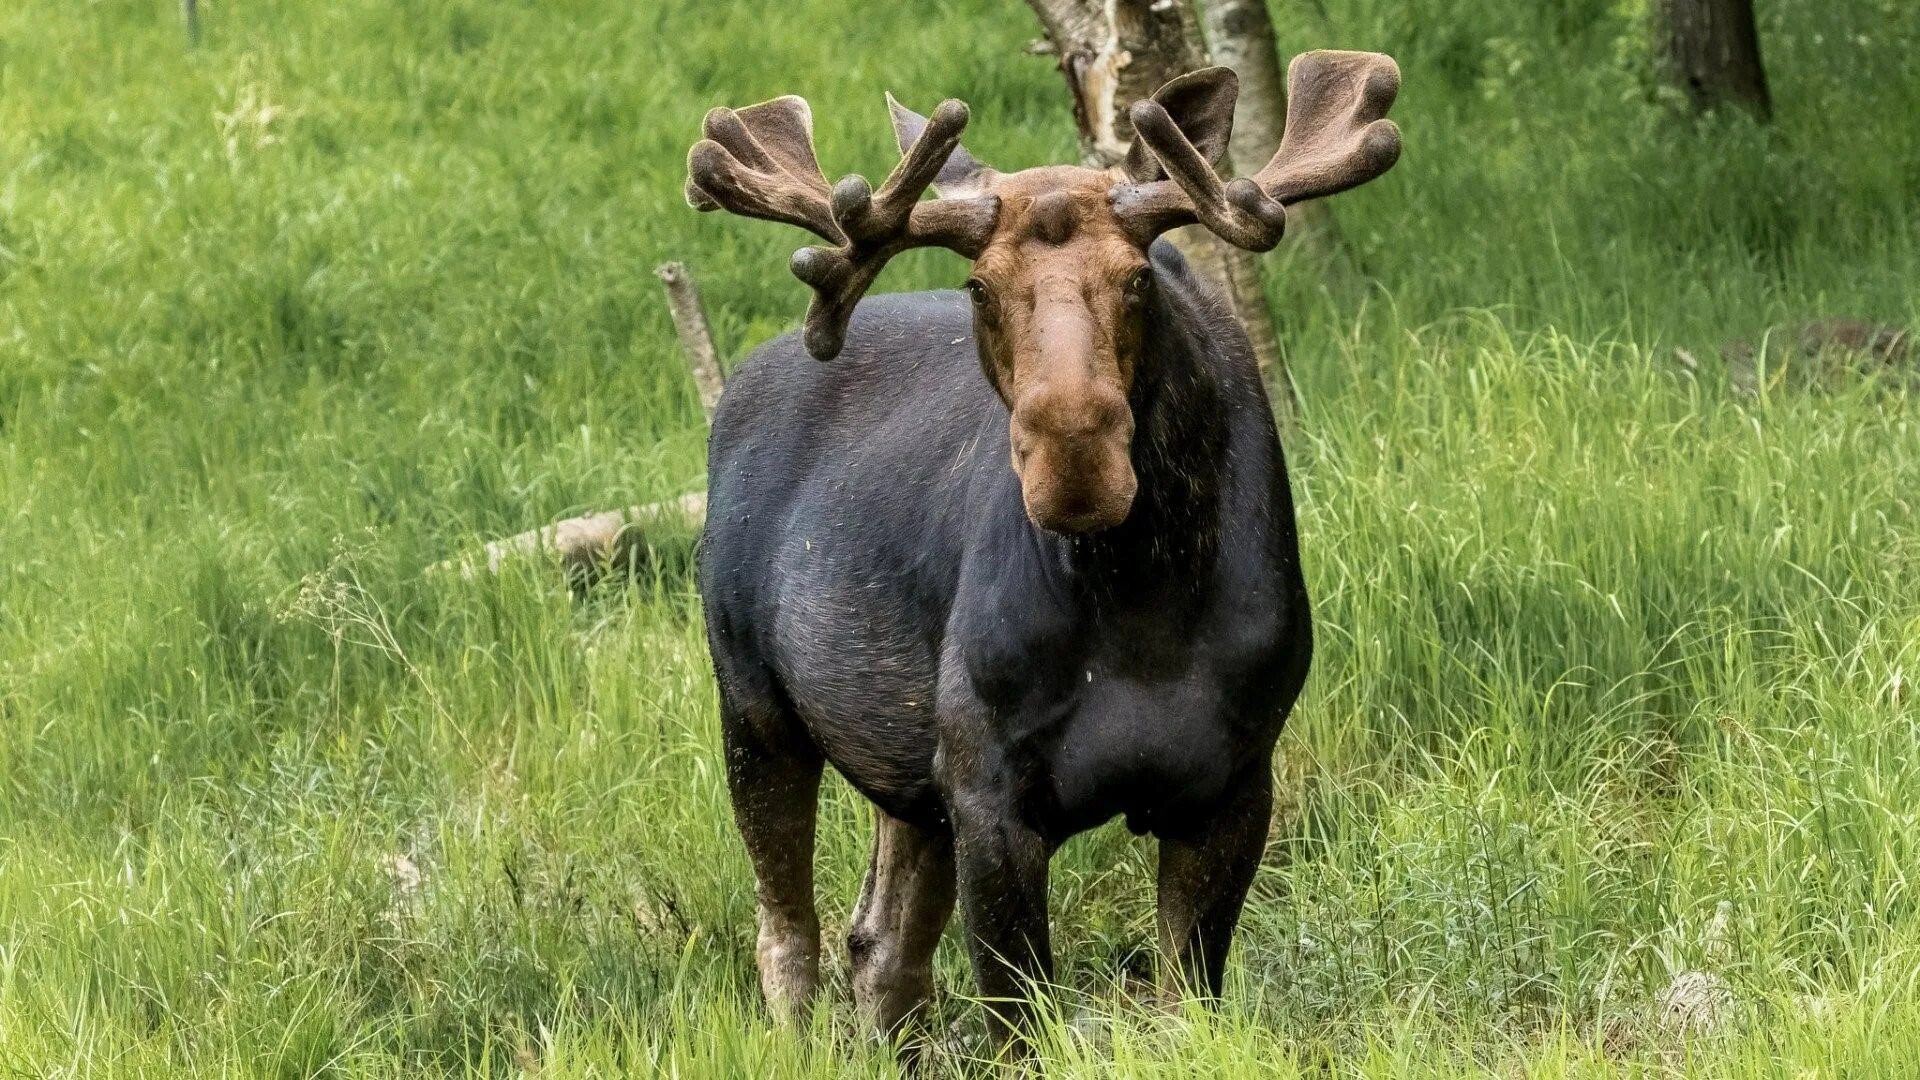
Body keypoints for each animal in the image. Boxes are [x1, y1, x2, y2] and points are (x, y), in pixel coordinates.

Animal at [683, 48, 1405, 1037]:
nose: (1076, 458)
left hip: (904, 770)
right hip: (754, 704)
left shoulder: (1234, 781)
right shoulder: (988, 789)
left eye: (1139, 277)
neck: (1145, 606)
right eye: (979, 285)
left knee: (882, 947)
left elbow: (1187, 1001)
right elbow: (1021, 1022)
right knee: (788, 933)